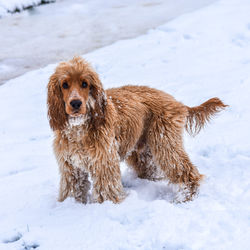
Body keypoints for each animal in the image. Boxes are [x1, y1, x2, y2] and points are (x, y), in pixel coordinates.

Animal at [46, 56, 227, 203]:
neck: (79, 127)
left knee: (185, 170)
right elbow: (72, 189)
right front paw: (69, 205)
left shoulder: (104, 163)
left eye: (85, 84)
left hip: (164, 142)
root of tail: (177, 102)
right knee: (150, 169)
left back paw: (185, 196)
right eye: (64, 85)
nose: (75, 103)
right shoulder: (71, 168)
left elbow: (106, 190)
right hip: (141, 149)